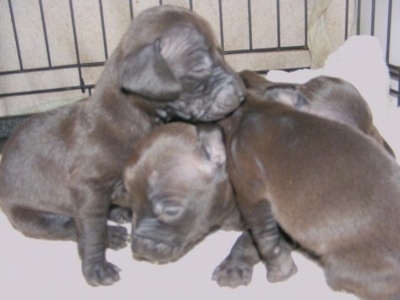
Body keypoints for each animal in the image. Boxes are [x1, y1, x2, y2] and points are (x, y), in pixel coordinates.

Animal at [0, 4, 244, 286]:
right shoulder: (88, 186)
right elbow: (90, 230)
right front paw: (96, 267)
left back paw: (118, 214)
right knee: (65, 226)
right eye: (199, 69)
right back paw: (112, 233)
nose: (242, 93)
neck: (134, 118)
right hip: (29, 216)